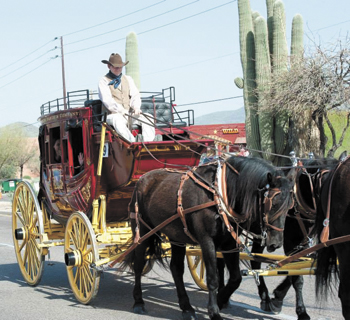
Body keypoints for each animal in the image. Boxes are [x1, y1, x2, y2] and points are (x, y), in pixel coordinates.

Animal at [124, 156, 294, 318]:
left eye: (289, 207)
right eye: (273, 204)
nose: (276, 243)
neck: (219, 195)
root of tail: (143, 179)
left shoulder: (229, 244)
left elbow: (236, 278)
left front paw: (221, 300)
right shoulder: (207, 241)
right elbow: (213, 278)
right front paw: (214, 311)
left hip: (176, 237)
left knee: (176, 268)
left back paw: (187, 307)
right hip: (142, 232)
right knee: (138, 264)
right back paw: (138, 301)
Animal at [250, 156, 340, 318]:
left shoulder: (301, 243)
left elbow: (294, 268)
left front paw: (278, 297)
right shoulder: (289, 241)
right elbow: (297, 278)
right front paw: (302, 311)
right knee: (254, 261)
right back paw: (264, 297)